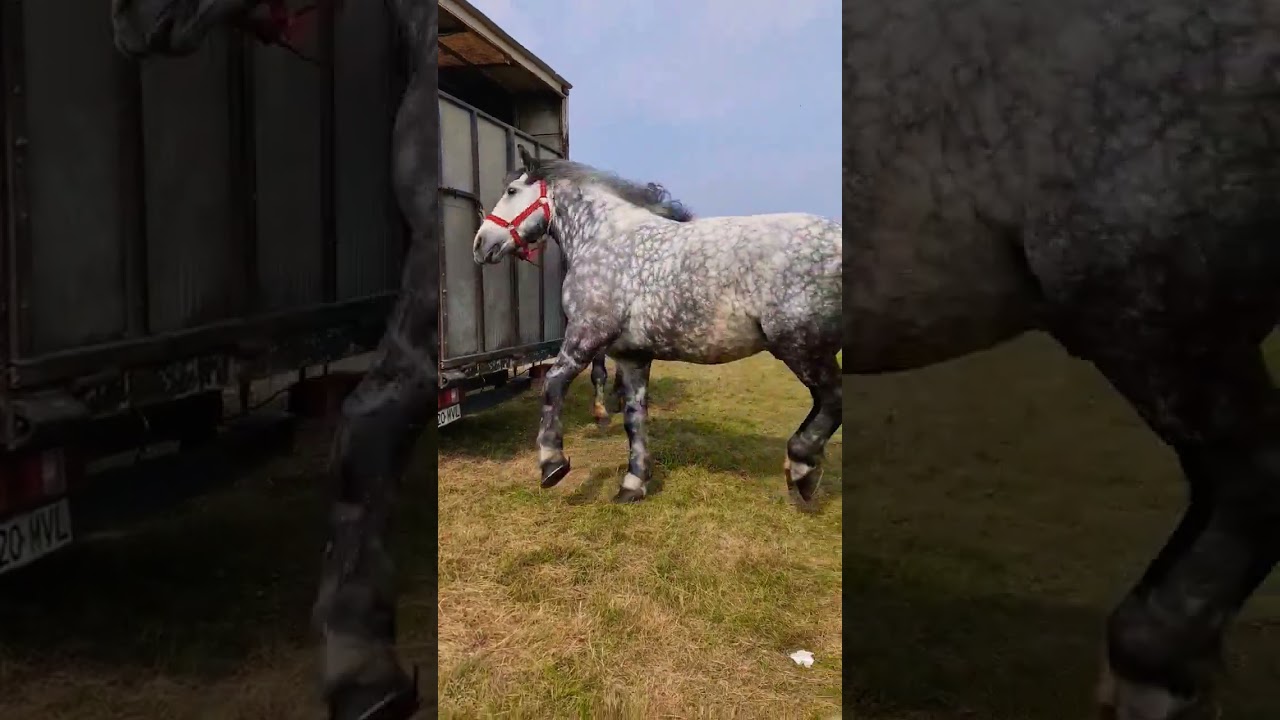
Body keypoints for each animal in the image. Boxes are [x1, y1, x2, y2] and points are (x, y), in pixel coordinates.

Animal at [473, 147, 842, 503]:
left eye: (511, 191)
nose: (481, 244)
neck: (604, 239)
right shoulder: (632, 356)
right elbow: (634, 418)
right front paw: (633, 484)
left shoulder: (586, 336)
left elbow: (552, 385)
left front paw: (552, 464)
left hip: (802, 348)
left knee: (832, 403)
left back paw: (801, 469)